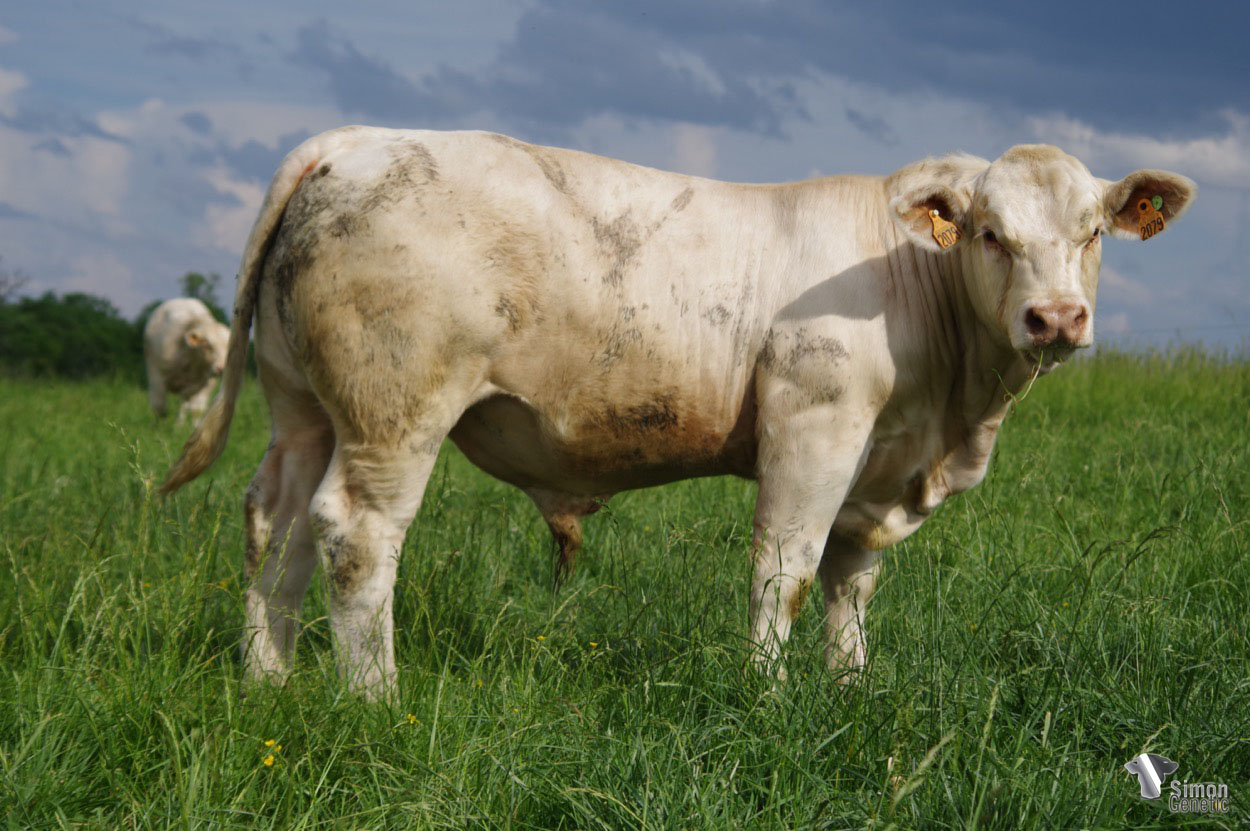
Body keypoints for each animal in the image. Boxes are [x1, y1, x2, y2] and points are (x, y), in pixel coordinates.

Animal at [160, 127, 1194, 699]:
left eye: (1092, 233)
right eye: (989, 232)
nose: (1055, 318)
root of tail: (351, 140)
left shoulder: (877, 464)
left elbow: (849, 583)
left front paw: (850, 688)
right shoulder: (814, 426)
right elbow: (786, 570)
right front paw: (769, 697)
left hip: (304, 408)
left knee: (277, 526)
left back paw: (268, 679)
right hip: (394, 411)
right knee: (356, 534)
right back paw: (374, 696)